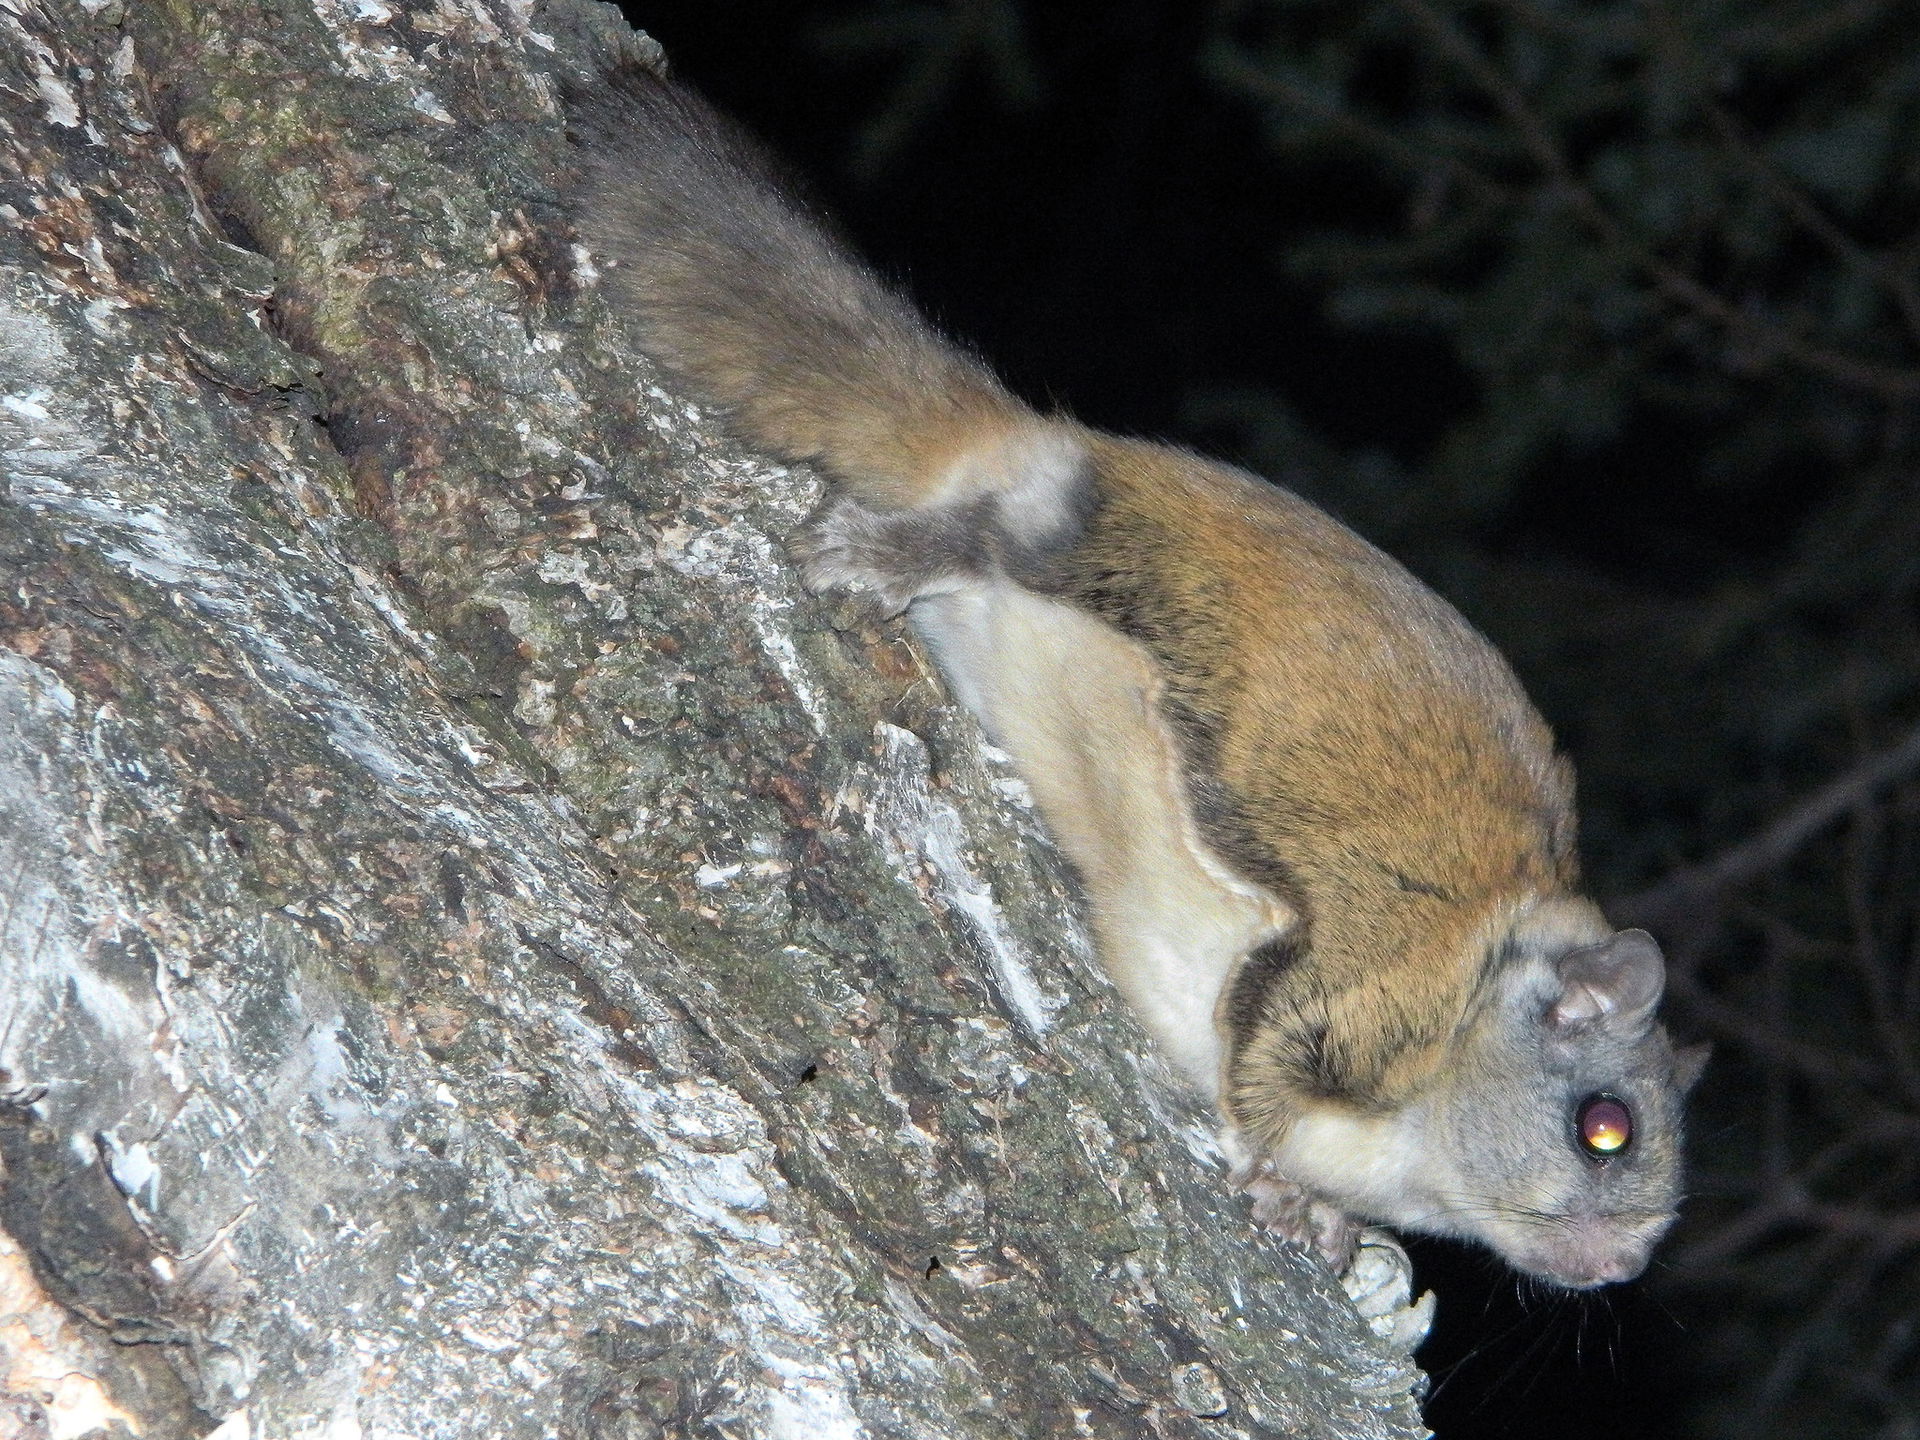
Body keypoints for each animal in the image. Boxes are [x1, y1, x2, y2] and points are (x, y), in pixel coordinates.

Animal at [563, 58, 1706, 1290]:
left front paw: (1329, 1221)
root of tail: (1051, 448)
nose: (1621, 1269)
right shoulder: (1363, 986)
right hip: (1106, 567)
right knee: (988, 539)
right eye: (1606, 1128)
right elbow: (1260, 1059)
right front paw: (1275, 1181)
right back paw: (887, 553)